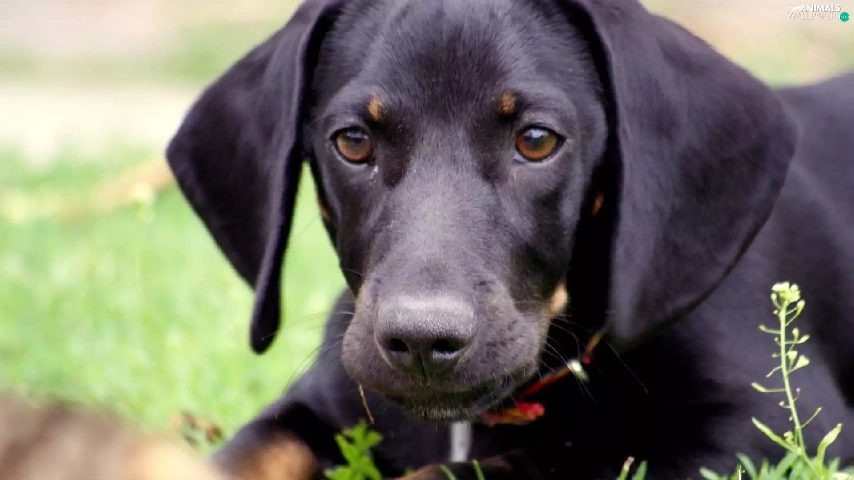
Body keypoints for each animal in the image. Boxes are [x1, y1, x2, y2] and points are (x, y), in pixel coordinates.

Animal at [165, 0, 854, 478]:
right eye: (353, 142)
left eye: (537, 140)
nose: (421, 342)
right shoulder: (312, 409)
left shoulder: (759, 431)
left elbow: (518, 465)